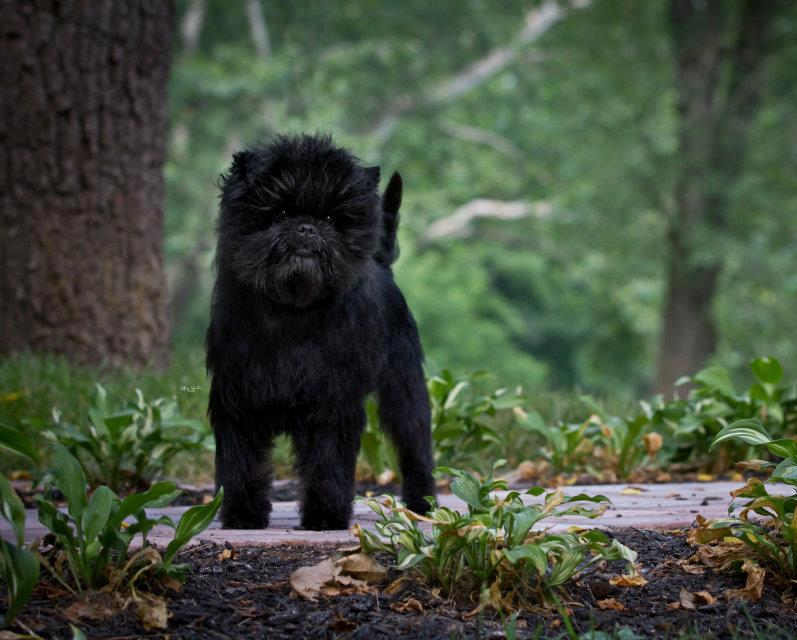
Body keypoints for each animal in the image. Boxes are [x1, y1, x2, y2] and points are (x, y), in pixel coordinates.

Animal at [205, 132, 436, 528]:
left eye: (329, 217)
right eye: (282, 212)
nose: (307, 227)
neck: (293, 310)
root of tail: (381, 262)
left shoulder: (331, 403)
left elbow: (328, 460)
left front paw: (325, 516)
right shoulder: (238, 400)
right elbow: (242, 461)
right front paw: (242, 514)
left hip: (403, 384)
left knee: (414, 437)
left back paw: (422, 502)